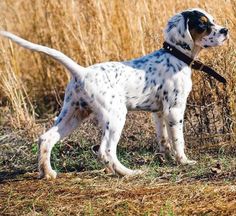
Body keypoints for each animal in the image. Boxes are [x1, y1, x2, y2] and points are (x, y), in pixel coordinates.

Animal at [0, 8, 229, 179]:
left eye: (213, 20)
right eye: (203, 24)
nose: (226, 30)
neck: (176, 56)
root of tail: (82, 72)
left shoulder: (159, 112)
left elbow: (163, 139)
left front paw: (166, 158)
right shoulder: (174, 109)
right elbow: (178, 140)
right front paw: (184, 161)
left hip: (73, 114)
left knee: (46, 138)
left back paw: (47, 173)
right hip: (116, 115)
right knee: (105, 150)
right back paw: (127, 172)